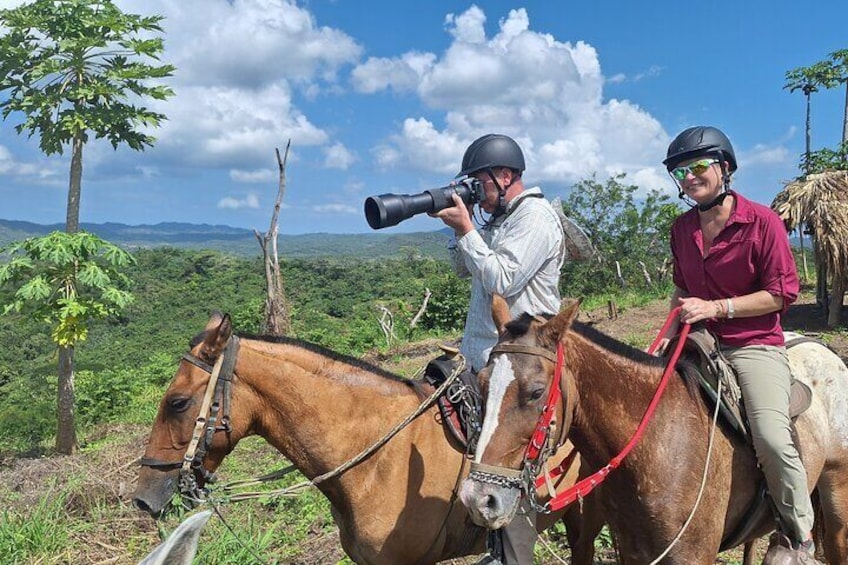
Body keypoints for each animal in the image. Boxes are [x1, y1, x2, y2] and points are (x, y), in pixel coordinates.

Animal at [460, 298, 848, 560]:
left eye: (536, 392)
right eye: (481, 383)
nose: (478, 499)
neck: (655, 448)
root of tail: (821, 346)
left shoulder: (693, 555)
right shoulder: (633, 553)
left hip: (836, 495)